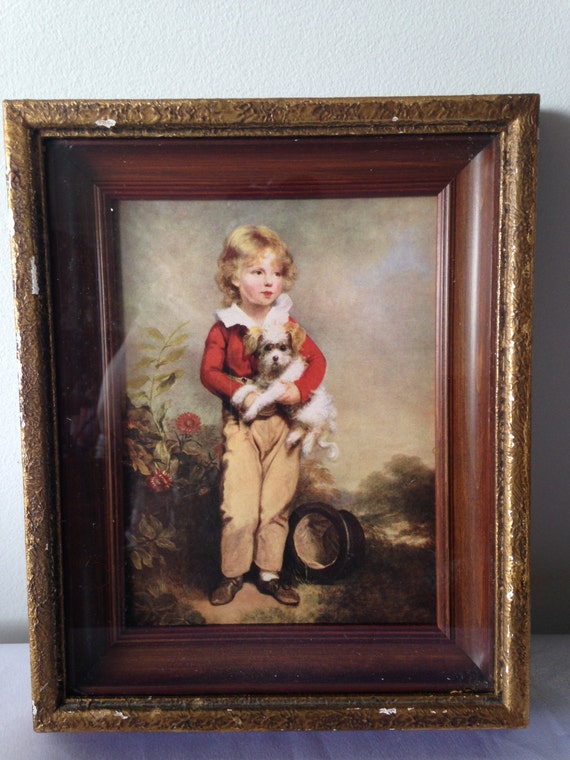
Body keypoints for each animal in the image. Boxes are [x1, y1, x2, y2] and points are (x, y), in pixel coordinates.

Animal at [231, 320, 338, 458]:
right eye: (268, 347)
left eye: (283, 347)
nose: (275, 358)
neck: (278, 370)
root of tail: (328, 414)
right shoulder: (264, 386)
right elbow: (249, 387)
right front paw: (238, 396)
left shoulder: (277, 389)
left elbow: (260, 399)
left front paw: (250, 413)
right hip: (298, 415)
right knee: (302, 427)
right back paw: (291, 439)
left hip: (308, 413)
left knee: (315, 429)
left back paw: (307, 446)